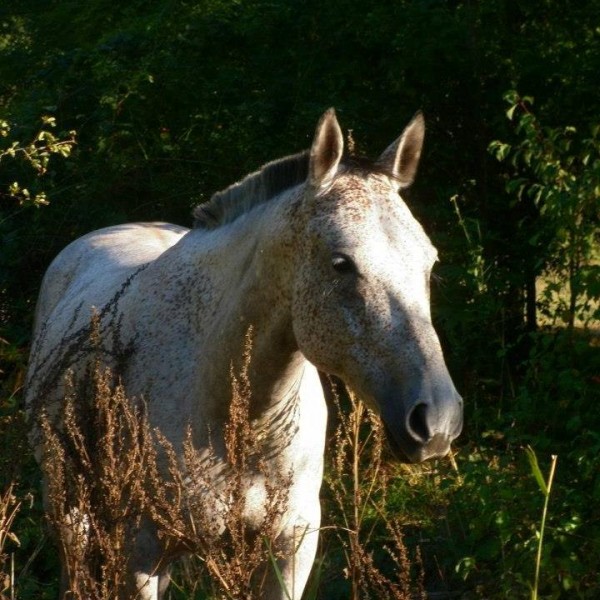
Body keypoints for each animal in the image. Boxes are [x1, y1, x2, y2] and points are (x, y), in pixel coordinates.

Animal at [25, 110, 462, 596]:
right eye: (341, 263)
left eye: (429, 262)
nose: (437, 421)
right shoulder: (138, 554)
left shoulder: (289, 549)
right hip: (69, 509)